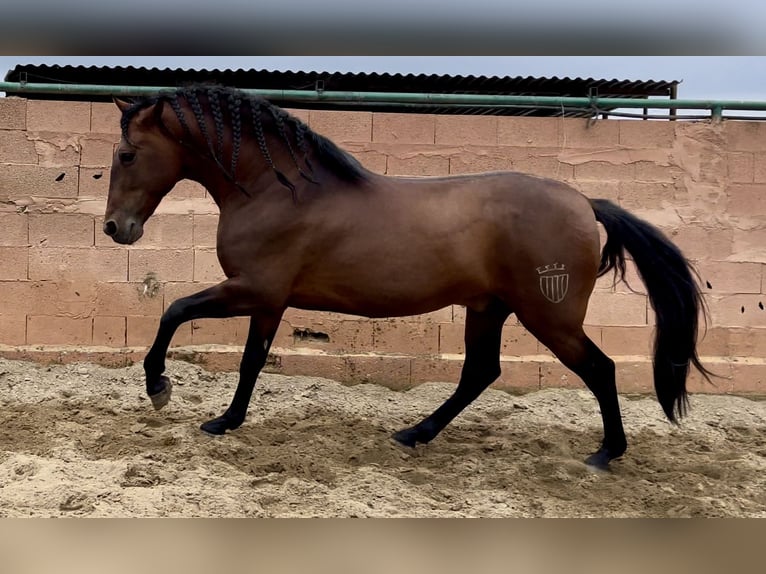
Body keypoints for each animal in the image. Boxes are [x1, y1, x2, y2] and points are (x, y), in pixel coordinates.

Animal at [103, 84, 712, 470]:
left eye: (127, 155)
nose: (116, 228)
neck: (277, 190)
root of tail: (587, 203)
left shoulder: (253, 290)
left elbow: (174, 312)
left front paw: (161, 389)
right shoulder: (268, 302)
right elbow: (252, 361)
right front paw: (225, 421)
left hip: (550, 316)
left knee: (599, 369)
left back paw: (606, 454)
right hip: (488, 308)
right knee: (480, 373)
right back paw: (414, 433)